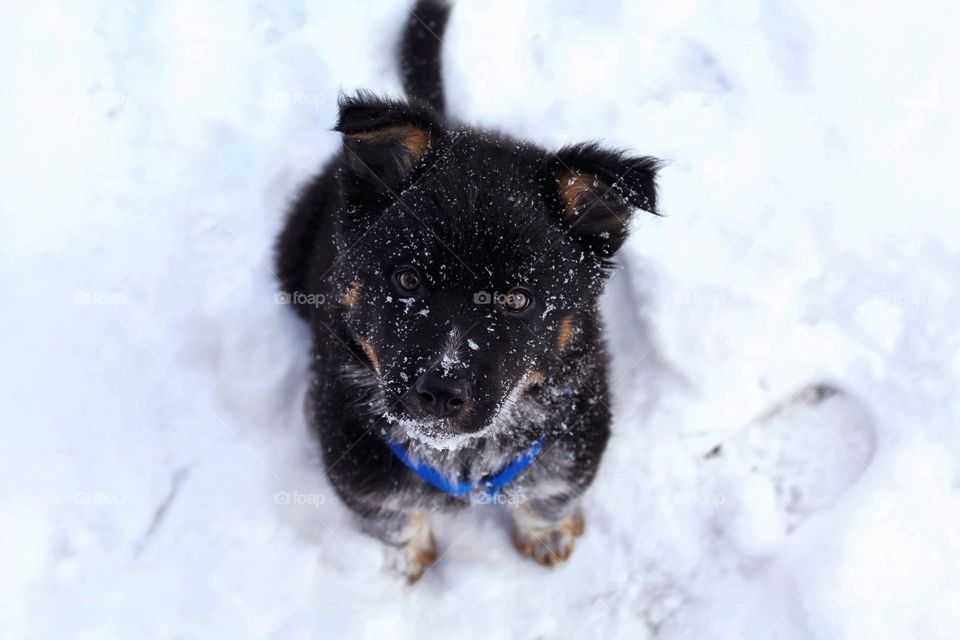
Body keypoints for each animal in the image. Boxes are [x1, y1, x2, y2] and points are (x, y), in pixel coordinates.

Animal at [274, 0, 656, 580]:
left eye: (518, 299)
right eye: (407, 280)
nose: (440, 393)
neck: (461, 456)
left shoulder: (576, 434)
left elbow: (548, 496)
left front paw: (546, 535)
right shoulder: (354, 458)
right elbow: (392, 517)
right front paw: (407, 560)